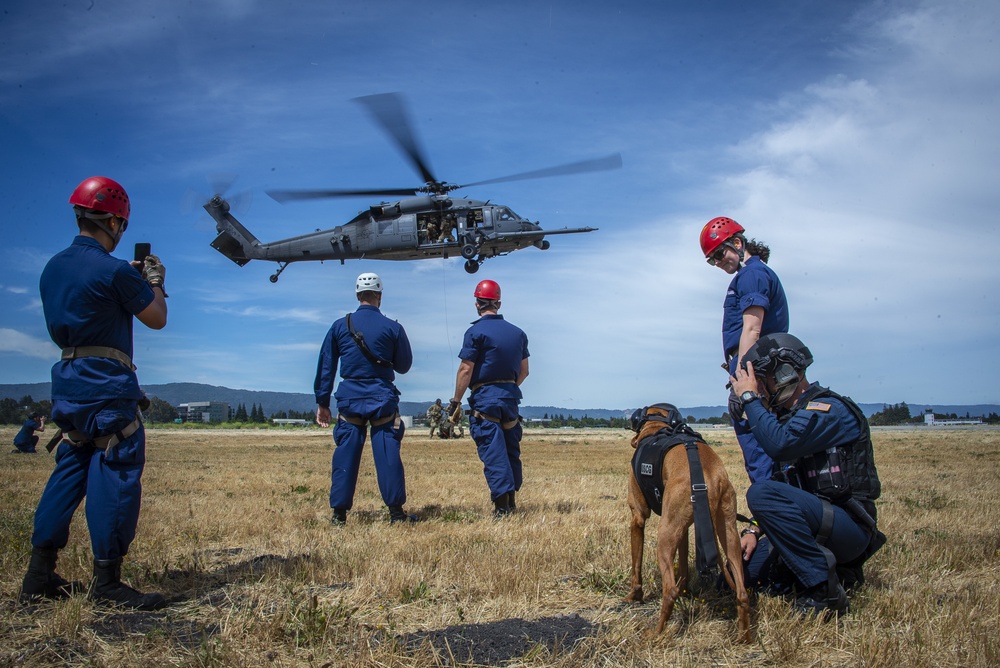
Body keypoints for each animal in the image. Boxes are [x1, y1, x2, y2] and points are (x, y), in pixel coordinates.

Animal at [624, 404, 752, 640]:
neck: (658, 426)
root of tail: (710, 479)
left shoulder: (638, 517)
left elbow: (636, 565)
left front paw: (634, 596)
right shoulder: (683, 529)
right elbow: (683, 565)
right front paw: (686, 589)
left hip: (664, 535)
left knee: (669, 591)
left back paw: (656, 633)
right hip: (728, 533)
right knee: (742, 592)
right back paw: (744, 637)